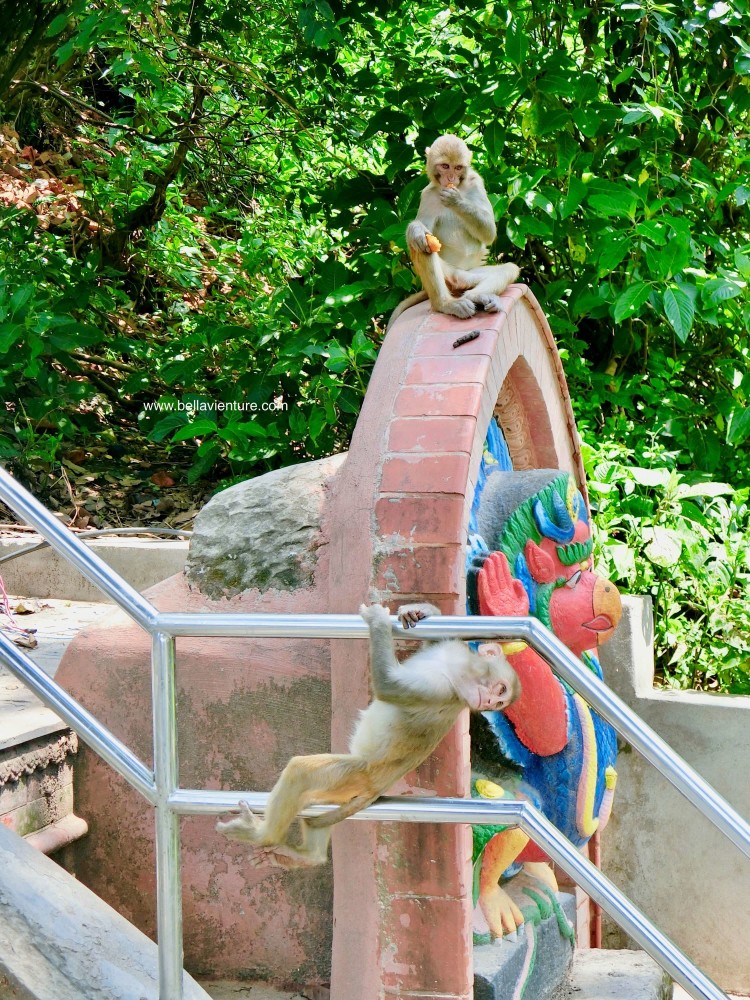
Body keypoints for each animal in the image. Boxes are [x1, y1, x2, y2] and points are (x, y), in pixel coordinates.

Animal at [216, 601, 520, 869]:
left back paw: (263, 835)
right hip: (340, 791)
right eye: (500, 692)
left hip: (350, 775)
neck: (457, 671)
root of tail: (377, 788)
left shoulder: (440, 689)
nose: (488, 702)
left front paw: (379, 621)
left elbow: (389, 685)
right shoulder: (449, 651)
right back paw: (309, 855)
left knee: (301, 771)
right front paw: (417, 610)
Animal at [387, 135, 520, 330]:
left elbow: (489, 232)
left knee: (508, 269)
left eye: (458, 168)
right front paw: (417, 230)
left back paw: (476, 296)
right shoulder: (427, 195)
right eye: (445, 166)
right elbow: (423, 230)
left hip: (472, 273)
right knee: (424, 246)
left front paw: (457, 201)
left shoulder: (476, 182)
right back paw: (445, 304)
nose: (451, 177)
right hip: (449, 274)